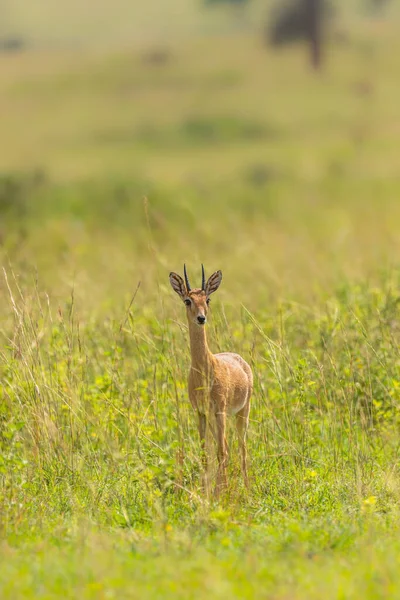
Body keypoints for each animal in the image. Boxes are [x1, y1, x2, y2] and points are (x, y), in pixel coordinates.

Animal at [170, 264, 253, 494]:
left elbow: (221, 452)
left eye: (207, 299)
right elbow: (205, 453)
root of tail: (240, 359)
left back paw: (247, 489)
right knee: (226, 446)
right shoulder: (200, 412)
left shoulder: (219, 410)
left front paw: (218, 494)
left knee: (240, 448)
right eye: (187, 300)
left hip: (241, 412)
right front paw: (205, 491)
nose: (201, 318)